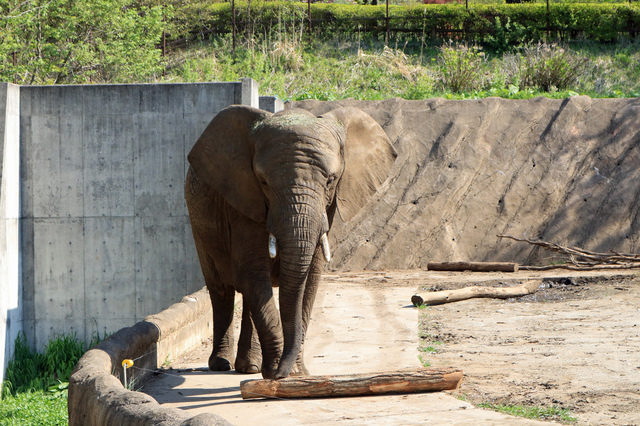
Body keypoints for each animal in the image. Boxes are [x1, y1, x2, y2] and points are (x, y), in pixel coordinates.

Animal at [182, 104, 398, 380]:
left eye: (331, 180)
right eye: (263, 181)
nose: (279, 375)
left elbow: (309, 279)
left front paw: (295, 373)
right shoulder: (243, 200)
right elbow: (253, 273)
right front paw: (278, 371)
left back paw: (249, 367)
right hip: (198, 224)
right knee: (222, 289)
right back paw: (222, 364)